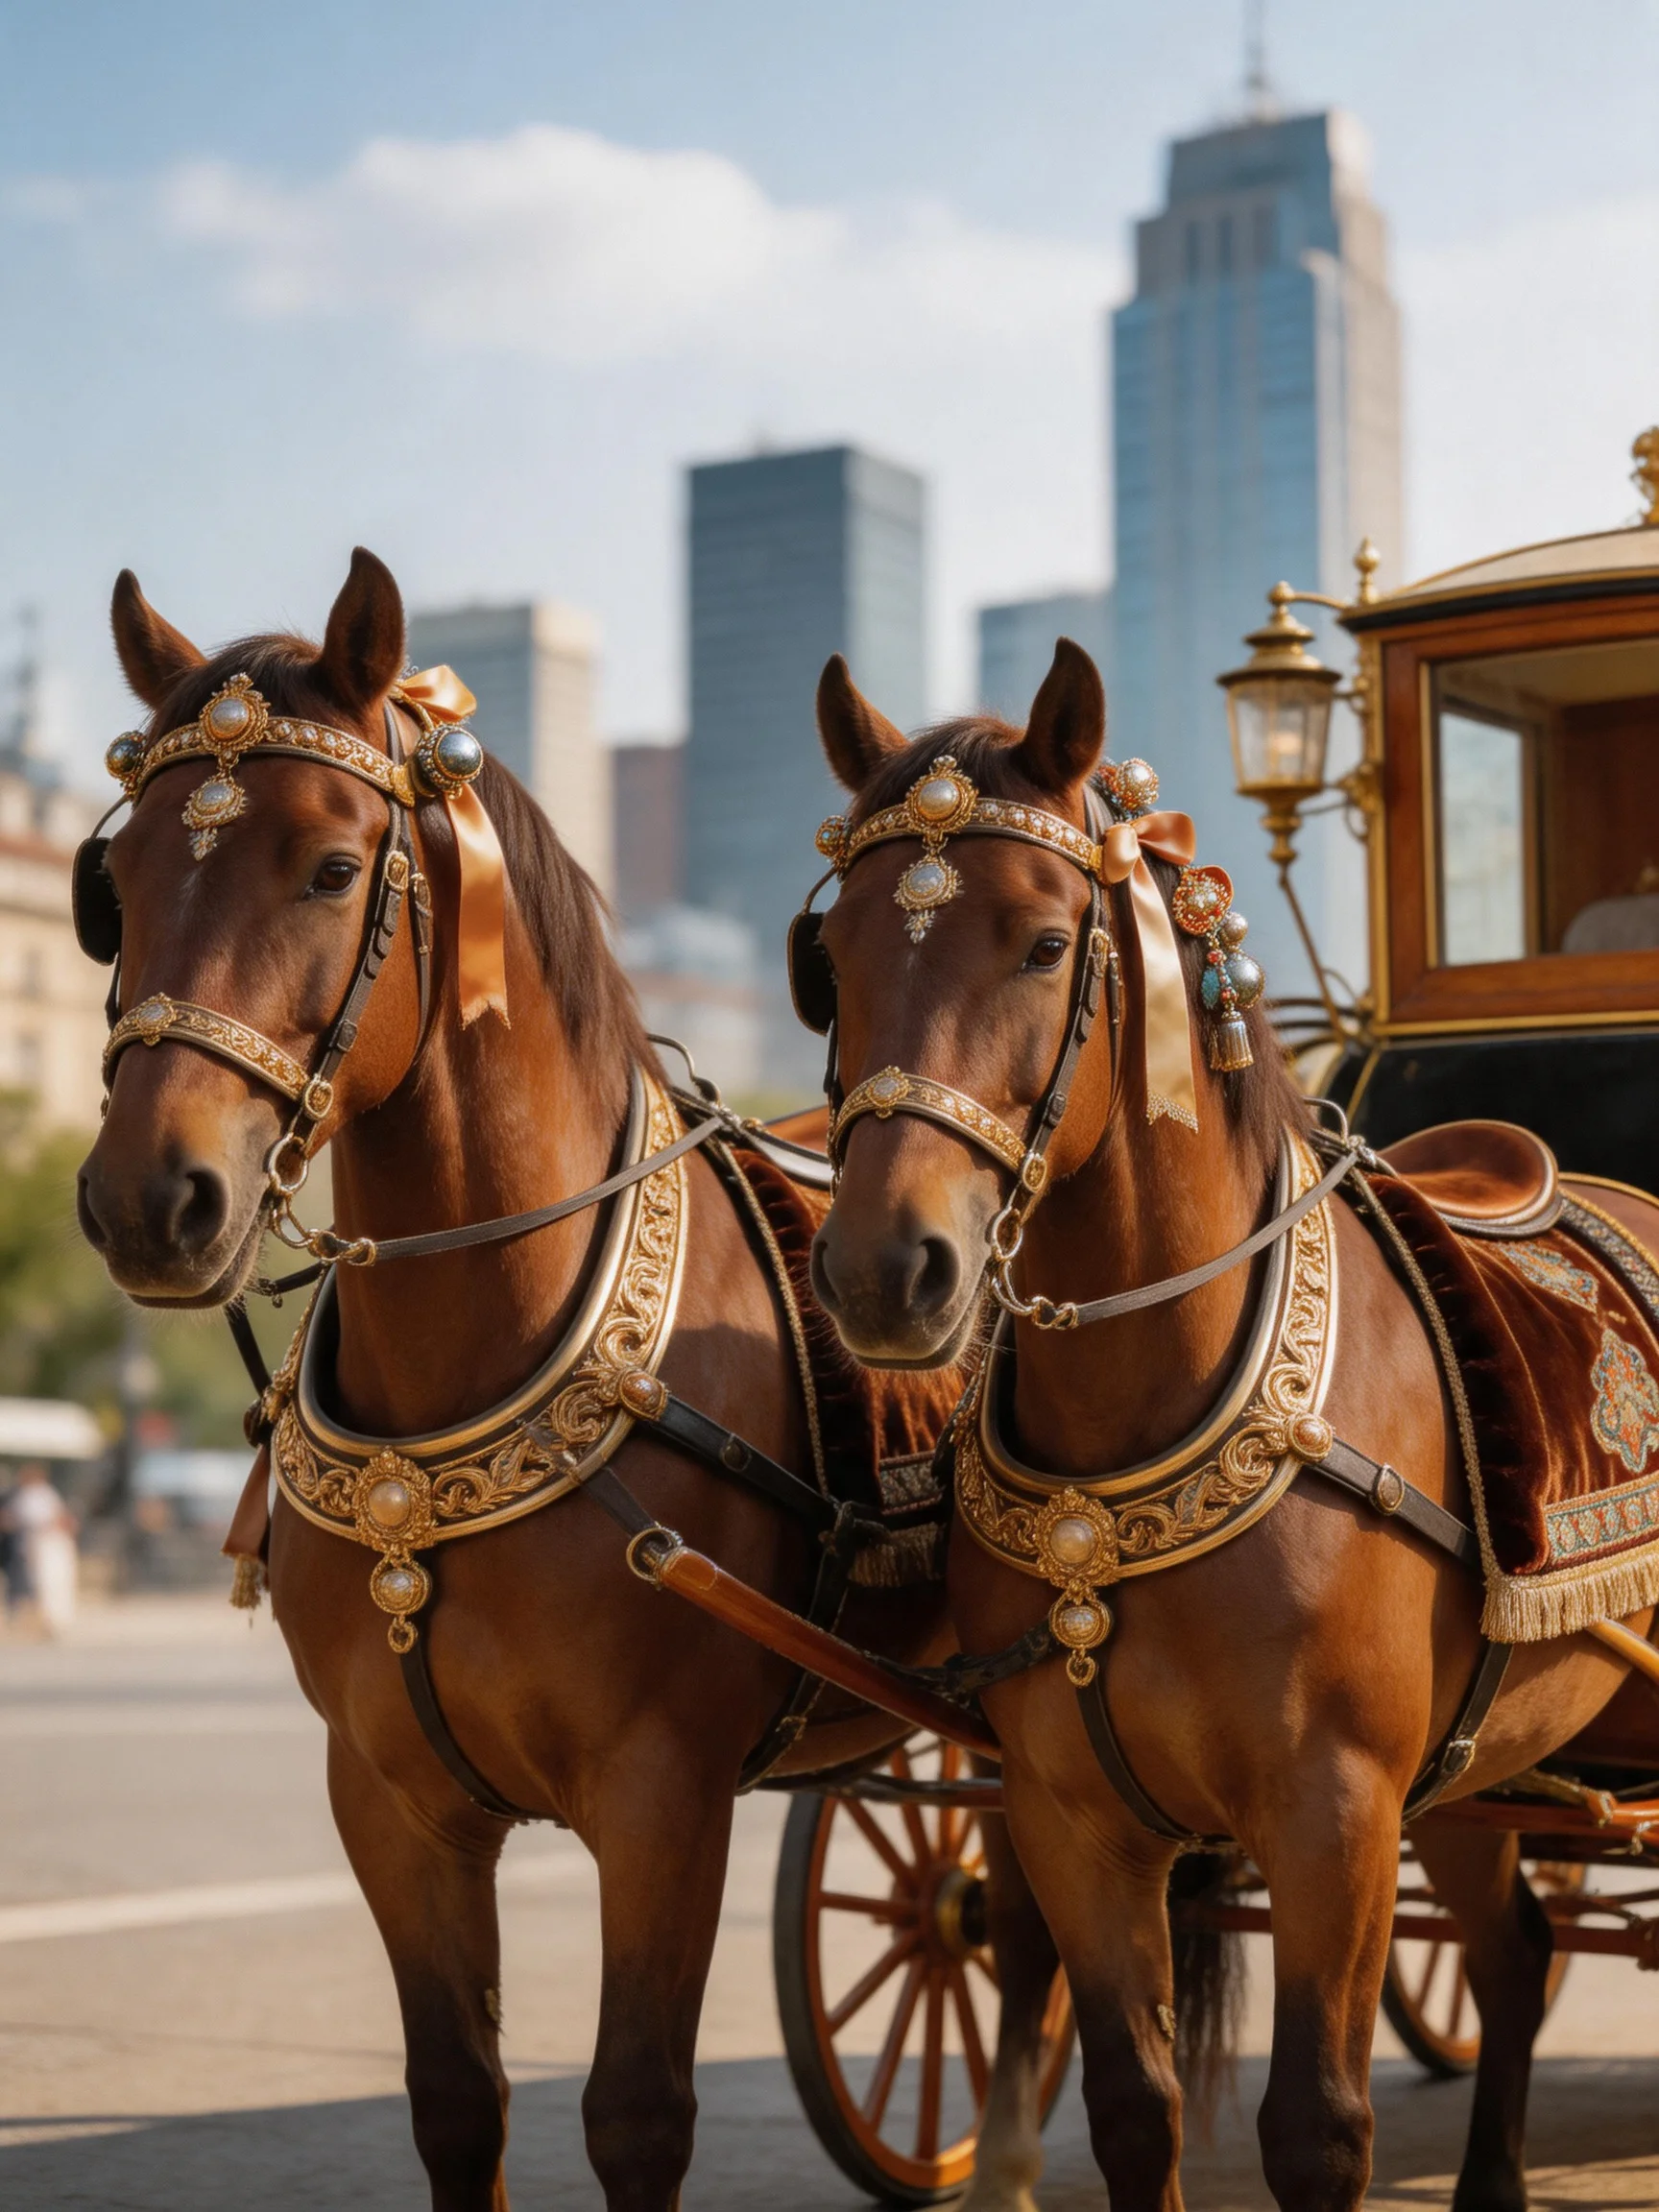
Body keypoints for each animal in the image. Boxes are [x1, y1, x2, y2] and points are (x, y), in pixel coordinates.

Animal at [74, 549, 1061, 2212]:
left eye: (330, 870)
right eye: (117, 886)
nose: (153, 1200)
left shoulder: (661, 1801)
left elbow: (635, 2112)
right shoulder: (390, 1799)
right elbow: (458, 2101)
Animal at [800, 636, 1659, 2212]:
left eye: (1043, 943)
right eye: (828, 968)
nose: (888, 1273)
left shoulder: (1334, 1815)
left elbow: (1315, 2128)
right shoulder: (1070, 1816)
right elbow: (1133, 2108)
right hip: (1477, 1764)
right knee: (1514, 1953)